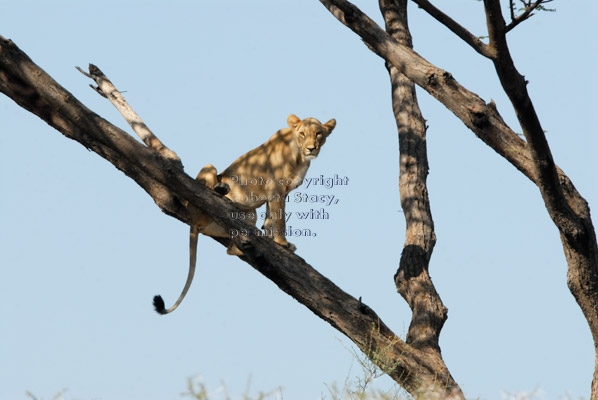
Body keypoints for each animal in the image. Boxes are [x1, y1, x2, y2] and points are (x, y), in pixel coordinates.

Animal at [155, 114, 338, 314]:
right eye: (303, 134)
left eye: (318, 133)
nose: (311, 148)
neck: (299, 157)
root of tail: (193, 221)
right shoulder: (275, 189)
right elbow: (280, 219)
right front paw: (282, 243)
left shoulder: (279, 193)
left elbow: (271, 218)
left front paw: (274, 240)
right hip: (208, 175)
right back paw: (222, 192)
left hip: (250, 213)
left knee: (231, 248)